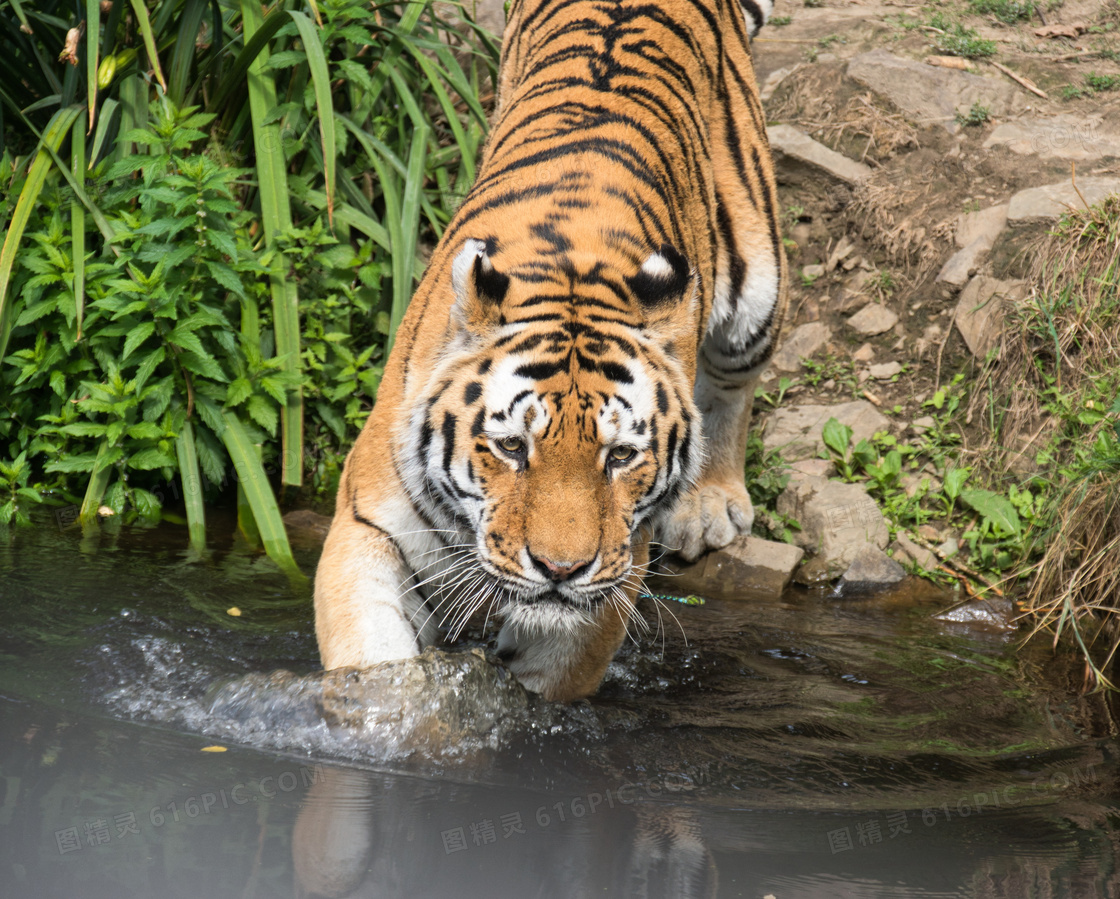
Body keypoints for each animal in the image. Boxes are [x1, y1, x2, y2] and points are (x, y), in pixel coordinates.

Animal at [313, 0, 788, 703]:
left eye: (620, 456)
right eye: (512, 447)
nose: (561, 569)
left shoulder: (613, 576)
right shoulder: (368, 527)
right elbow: (376, 669)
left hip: (759, 281)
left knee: (733, 378)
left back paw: (710, 503)